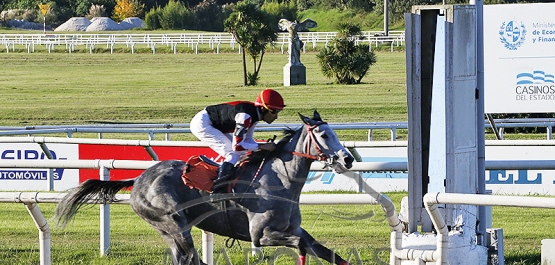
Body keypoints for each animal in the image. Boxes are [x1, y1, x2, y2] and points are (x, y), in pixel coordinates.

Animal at [53, 110, 356, 264]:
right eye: (324, 135)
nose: (348, 158)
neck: (280, 181)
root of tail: (137, 179)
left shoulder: (294, 229)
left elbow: (328, 253)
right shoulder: (261, 235)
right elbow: (300, 246)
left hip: (169, 231)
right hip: (174, 224)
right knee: (188, 258)